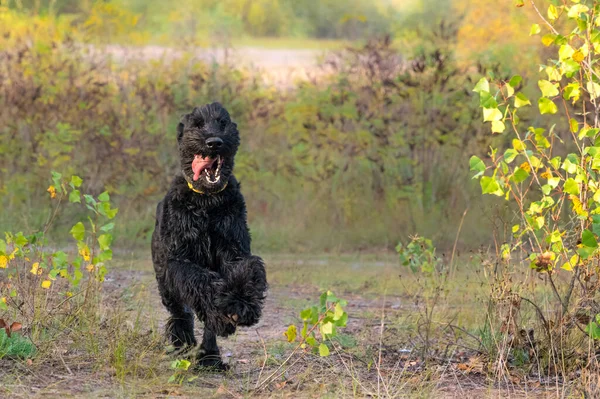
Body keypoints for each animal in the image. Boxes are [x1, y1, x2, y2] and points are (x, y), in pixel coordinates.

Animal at [152, 103, 268, 372]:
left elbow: (248, 268)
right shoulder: (177, 260)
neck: (207, 200)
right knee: (181, 313)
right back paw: (183, 342)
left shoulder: (234, 250)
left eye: (222, 122)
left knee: (207, 325)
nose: (214, 142)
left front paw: (241, 304)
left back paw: (210, 357)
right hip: (165, 282)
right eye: (197, 124)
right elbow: (199, 280)